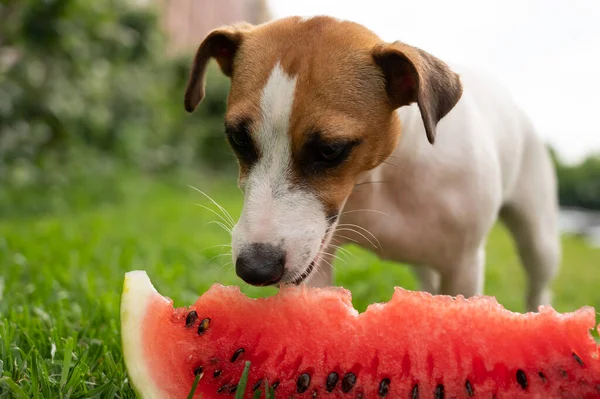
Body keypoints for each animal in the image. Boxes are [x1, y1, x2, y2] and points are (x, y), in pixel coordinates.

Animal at [185, 16, 560, 312]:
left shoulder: (464, 266)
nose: (255, 268)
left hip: (538, 240)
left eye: (331, 150)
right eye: (238, 138)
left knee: (538, 282)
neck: (380, 178)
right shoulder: (318, 259)